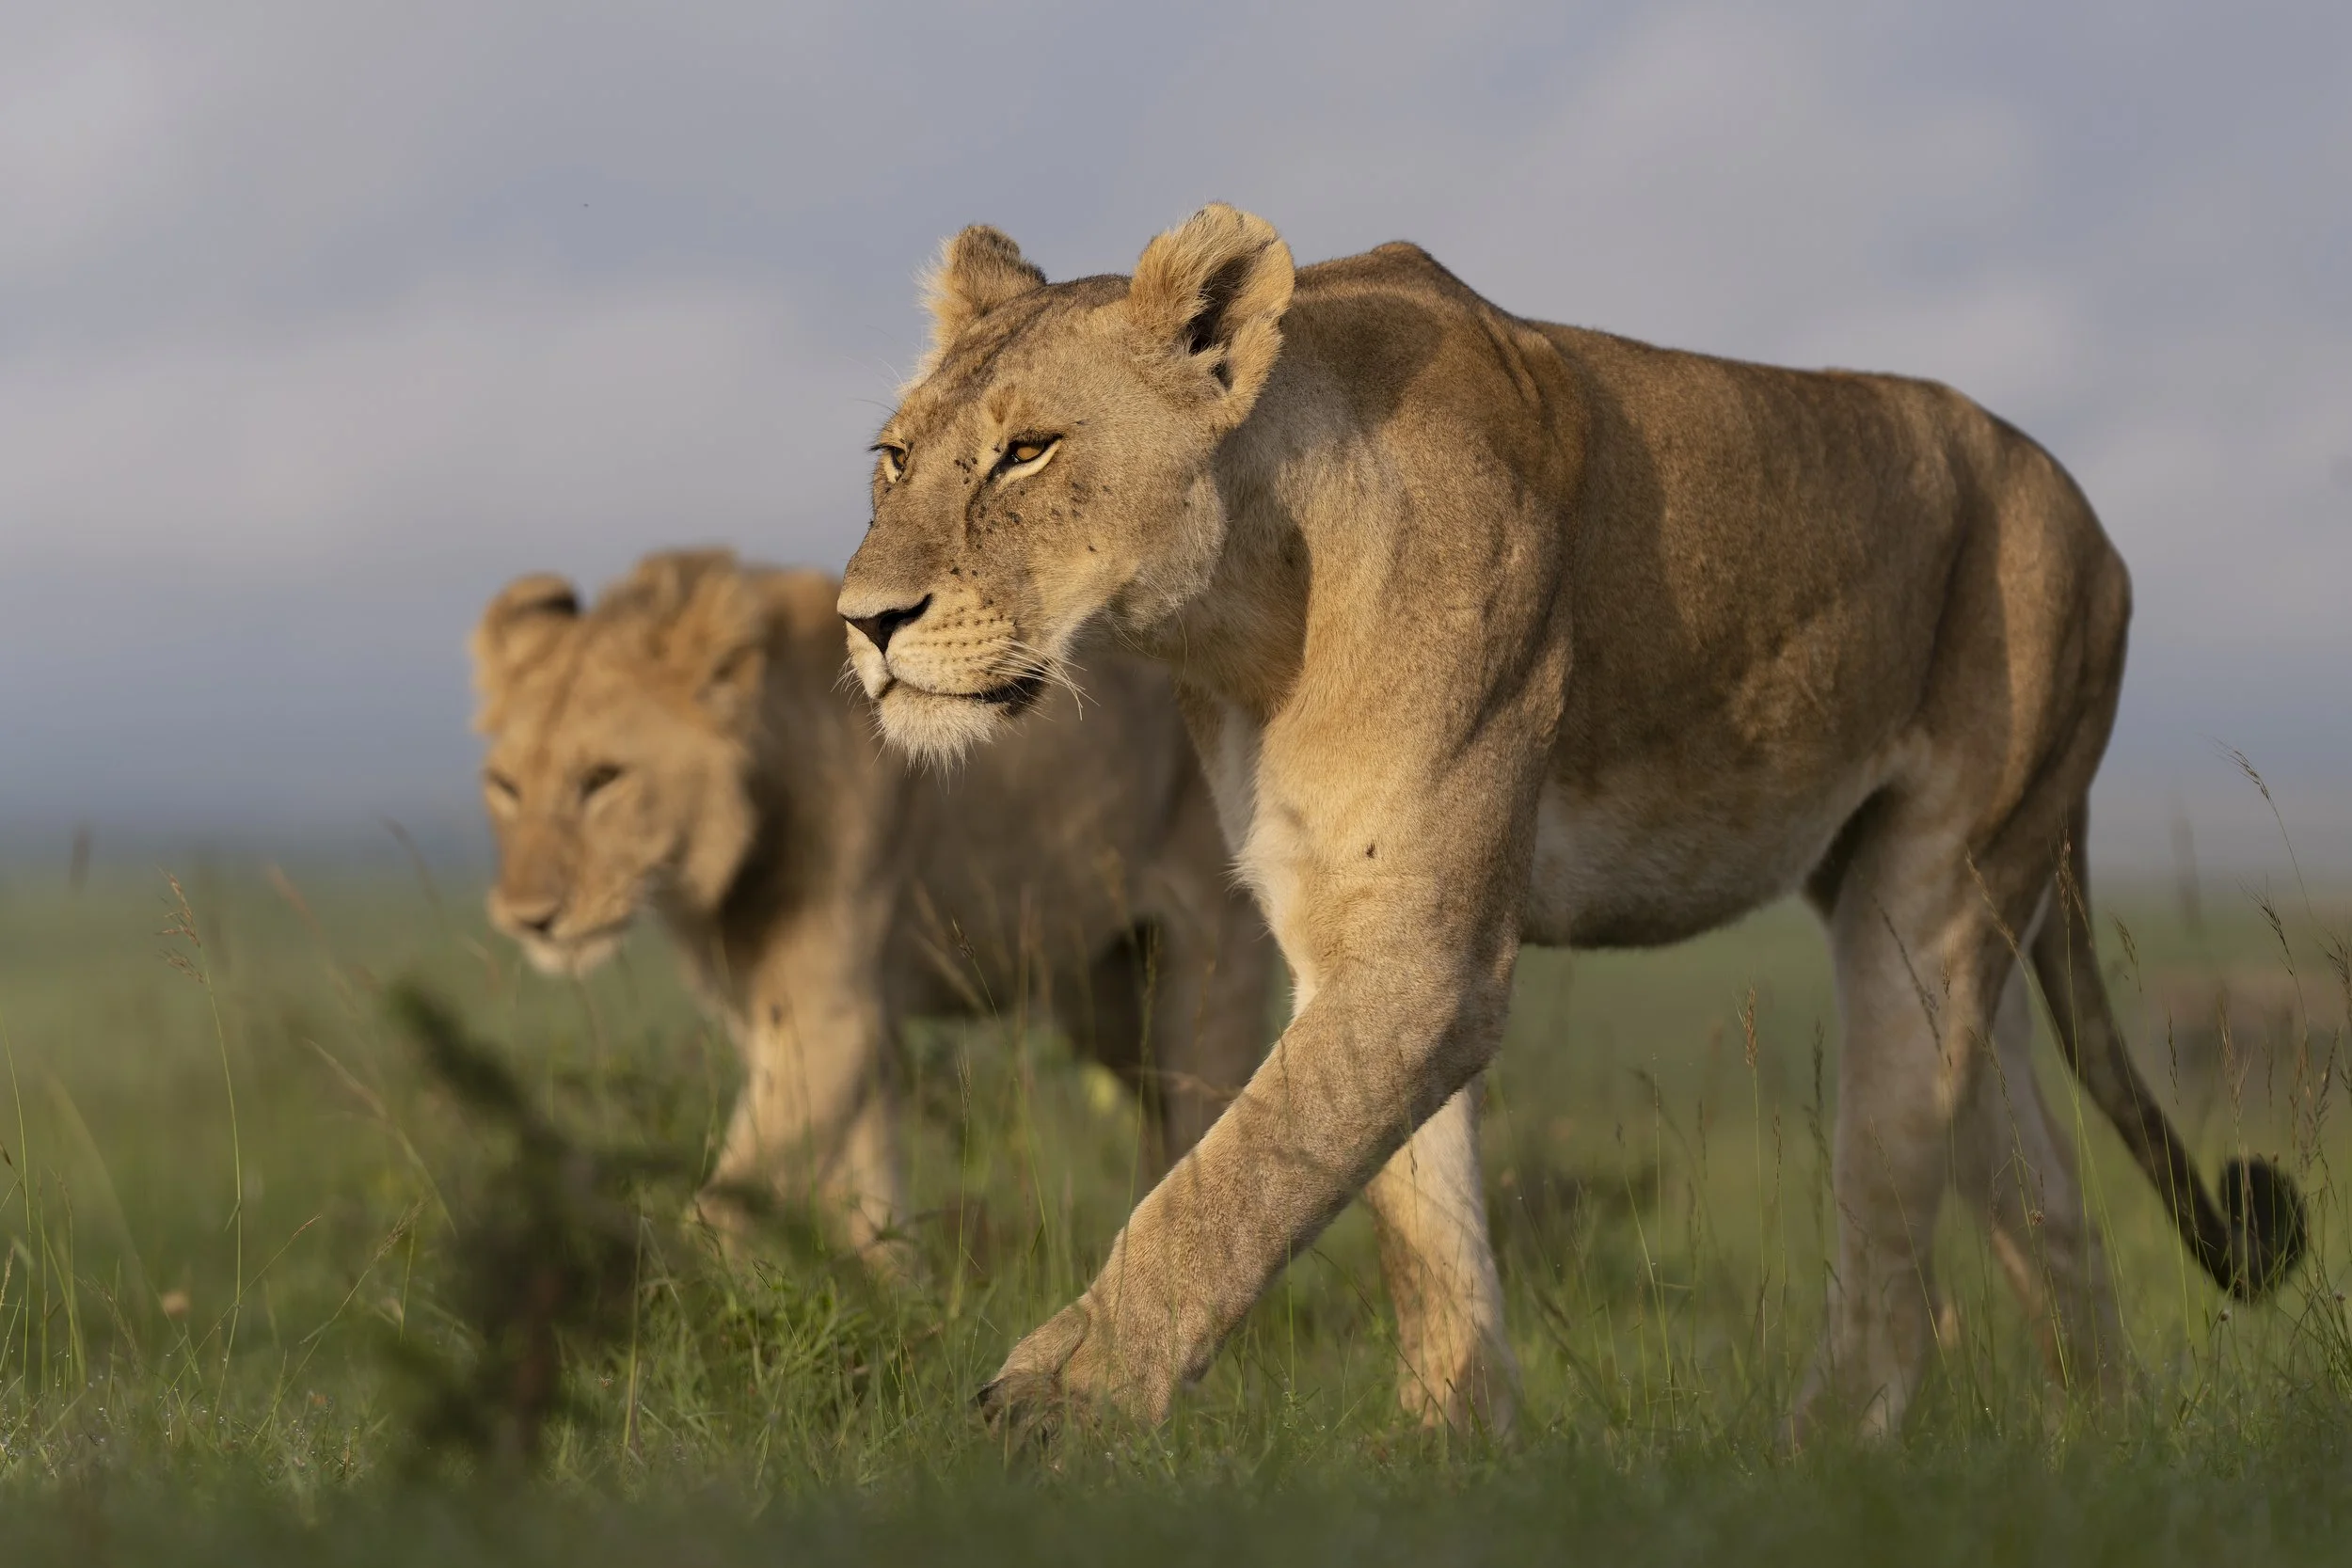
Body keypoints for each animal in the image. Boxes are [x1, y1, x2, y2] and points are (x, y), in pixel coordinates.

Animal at [469, 548, 1272, 1278]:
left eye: (602, 779)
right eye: (506, 786)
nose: (526, 918)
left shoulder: (829, 1019)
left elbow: (729, 1199)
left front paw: (659, 1303)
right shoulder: (837, 1019)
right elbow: (867, 1187)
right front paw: (898, 1300)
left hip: (1211, 960)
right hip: (1107, 996)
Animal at [836, 206, 2305, 1437]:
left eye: (1028, 450)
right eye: (895, 459)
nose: (864, 622)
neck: (1246, 612)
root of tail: (2091, 517)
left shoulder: (1429, 954)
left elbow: (1235, 1176)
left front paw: (1054, 1405)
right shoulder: (1341, 924)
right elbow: (1414, 1214)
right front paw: (1453, 1442)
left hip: (1935, 883)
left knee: (1894, 1231)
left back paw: (1817, 1461)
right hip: (1950, 914)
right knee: (2042, 1190)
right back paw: (2100, 1441)